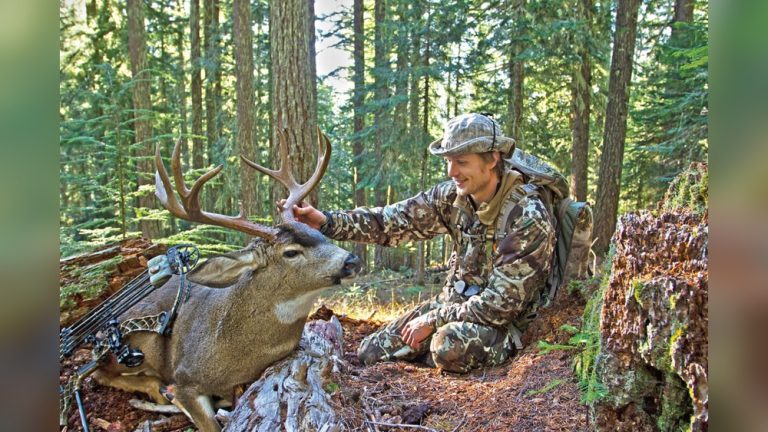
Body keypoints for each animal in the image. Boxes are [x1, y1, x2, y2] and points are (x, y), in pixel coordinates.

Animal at [90, 129, 361, 432]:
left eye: (322, 235)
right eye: (291, 252)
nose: (352, 261)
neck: (232, 356)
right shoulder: (185, 379)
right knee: (99, 374)